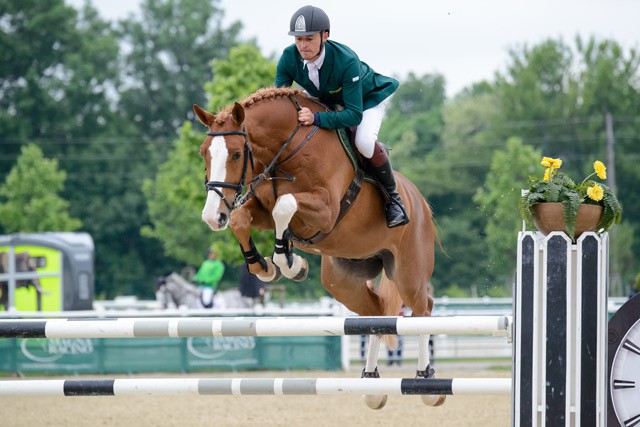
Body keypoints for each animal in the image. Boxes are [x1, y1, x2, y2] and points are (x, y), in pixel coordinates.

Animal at [194, 86, 444, 408]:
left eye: (237, 154)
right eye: (204, 153)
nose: (212, 217)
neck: (287, 151)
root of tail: (420, 201)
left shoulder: (324, 210)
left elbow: (284, 205)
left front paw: (289, 263)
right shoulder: (260, 208)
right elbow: (241, 219)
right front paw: (264, 266)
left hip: (408, 274)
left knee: (423, 309)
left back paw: (427, 382)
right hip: (343, 282)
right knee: (376, 312)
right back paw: (372, 384)